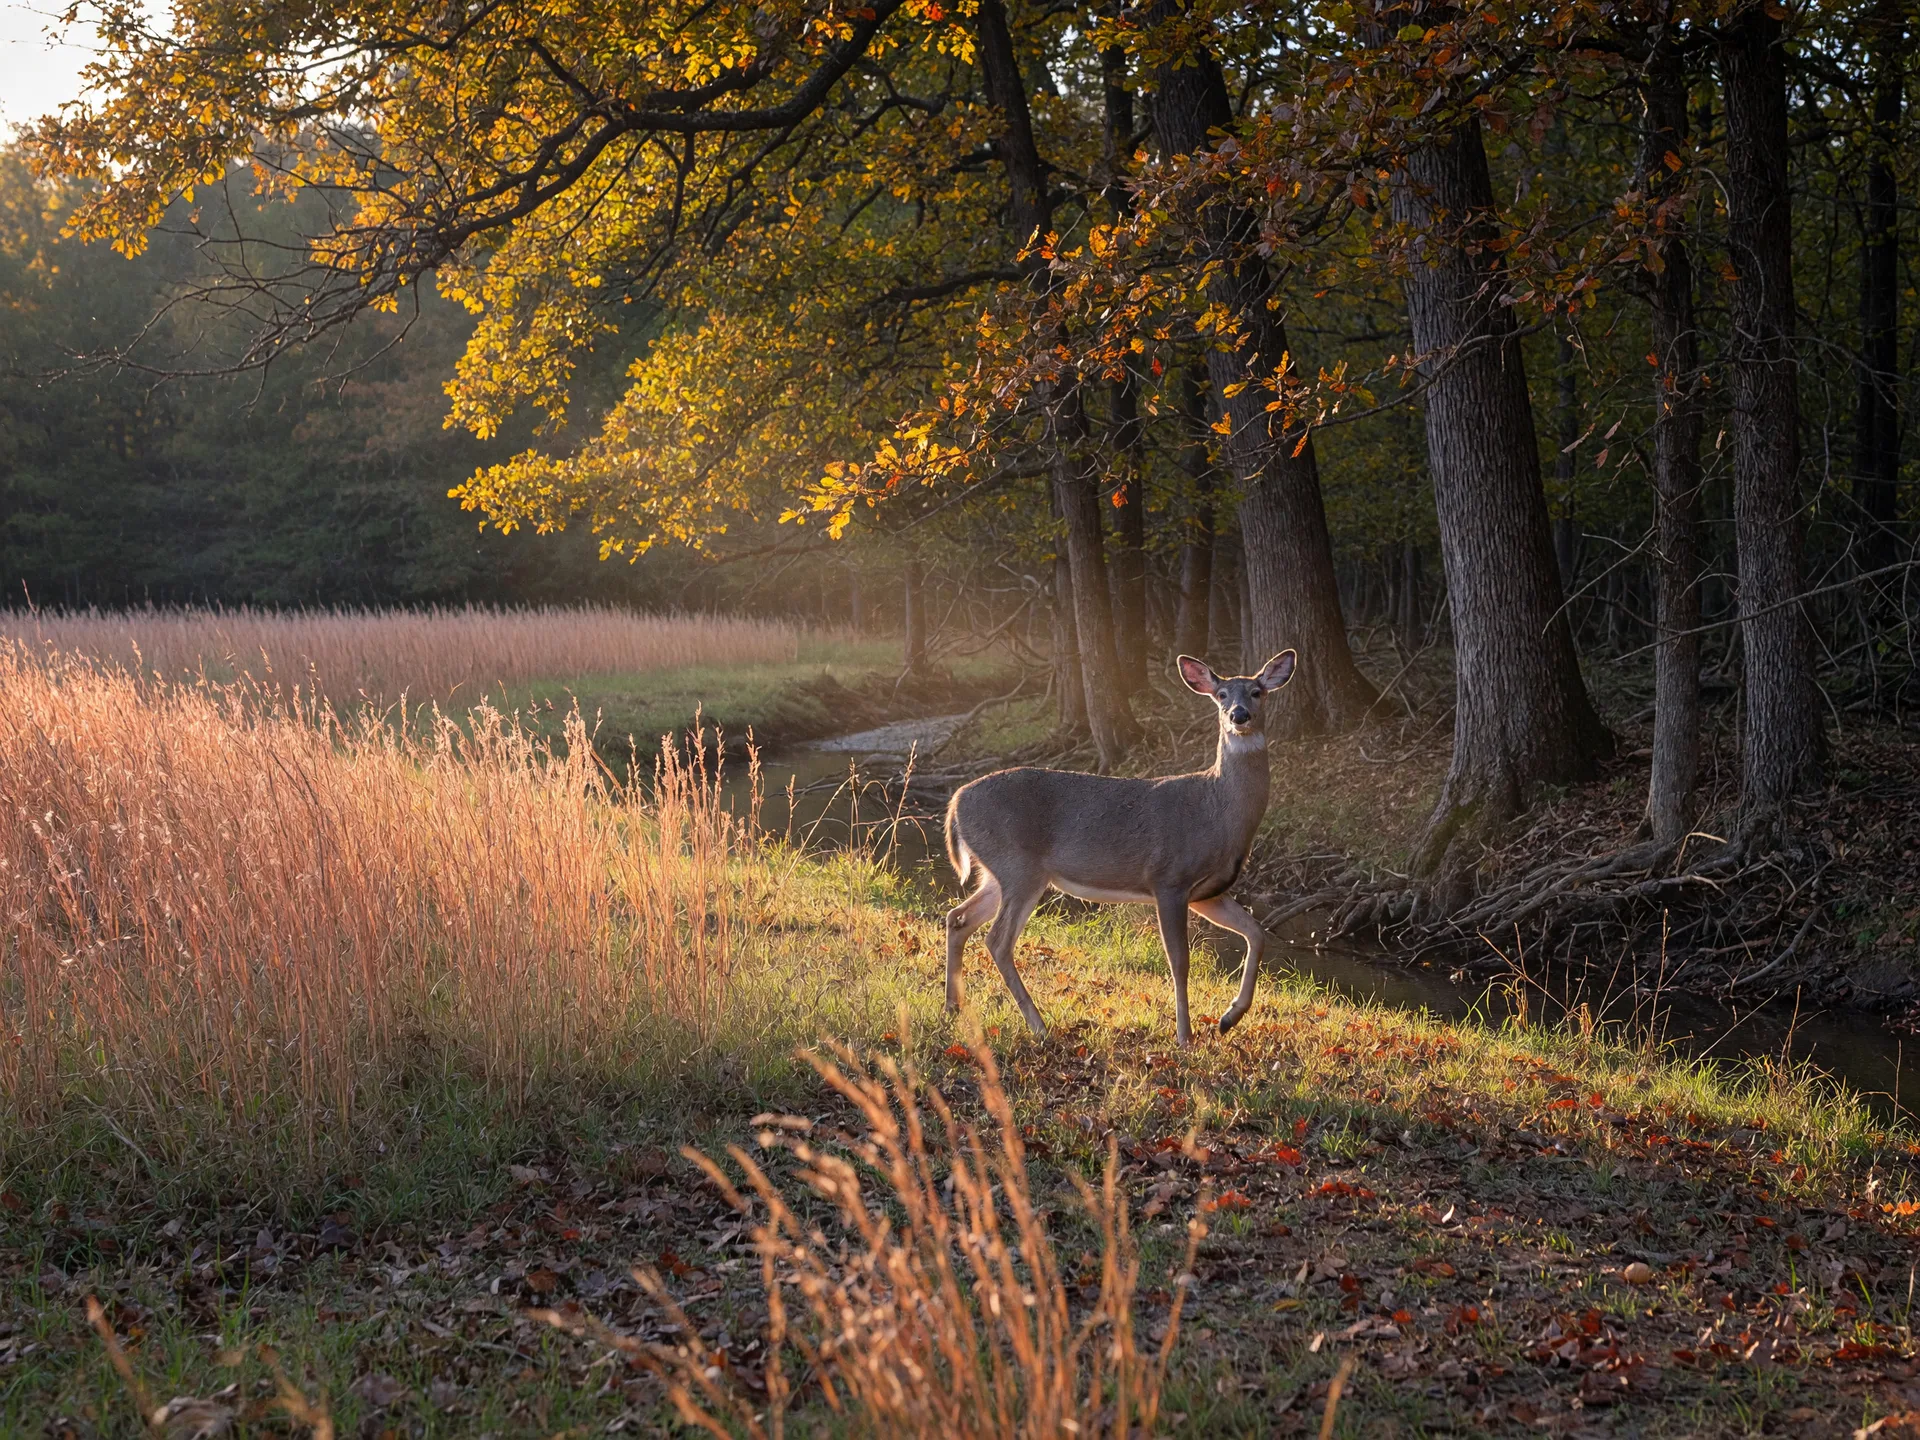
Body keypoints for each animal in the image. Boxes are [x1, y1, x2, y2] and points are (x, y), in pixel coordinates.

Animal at [942, 650, 1295, 1047]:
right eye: (1221, 694)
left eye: (1256, 691)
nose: (1238, 715)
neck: (1217, 811)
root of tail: (955, 803)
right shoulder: (1169, 878)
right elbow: (1179, 961)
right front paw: (1185, 1037)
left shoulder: (1207, 892)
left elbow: (1257, 933)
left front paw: (1228, 1018)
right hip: (1019, 867)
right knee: (997, 940)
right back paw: (1038, 1024)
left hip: (998, 872)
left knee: (958, 918)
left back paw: (953, 1007)